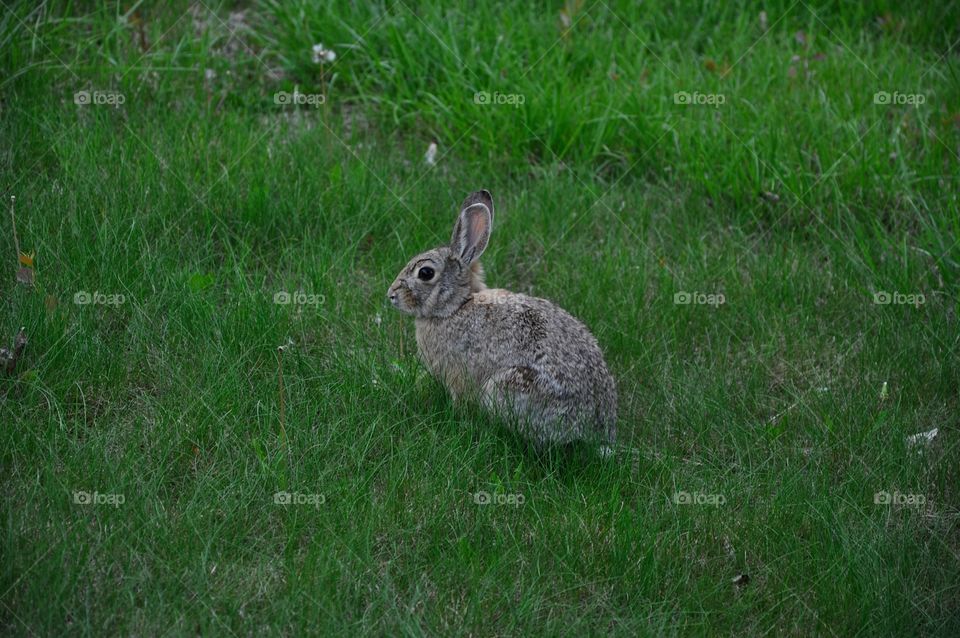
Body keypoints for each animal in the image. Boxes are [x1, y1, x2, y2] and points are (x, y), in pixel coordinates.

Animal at [387, 190, 617, 451]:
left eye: (425, 273)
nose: (391, 294)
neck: (456, 306)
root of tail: (596, 431)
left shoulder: (458, 376)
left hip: (510, 386)